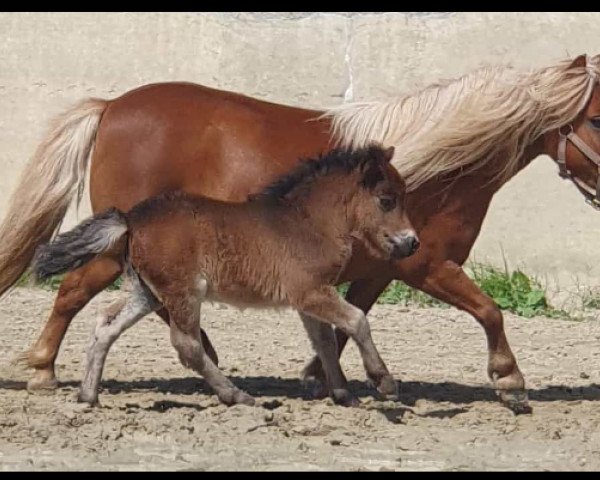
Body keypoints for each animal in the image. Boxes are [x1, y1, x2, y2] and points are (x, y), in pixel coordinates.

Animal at [31, 144, 418, 406]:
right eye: (386, 199)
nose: (411, 242)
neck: (307, 223)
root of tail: (130, 218)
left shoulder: (309, 297)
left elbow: (324, 341)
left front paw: (342, 393)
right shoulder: (310, 292)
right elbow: (356, 321)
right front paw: (383, 381)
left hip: (148, 293)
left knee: (106, 326)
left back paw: (88, 395)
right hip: (185, 290)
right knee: (186, 344)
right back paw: (236, 395)